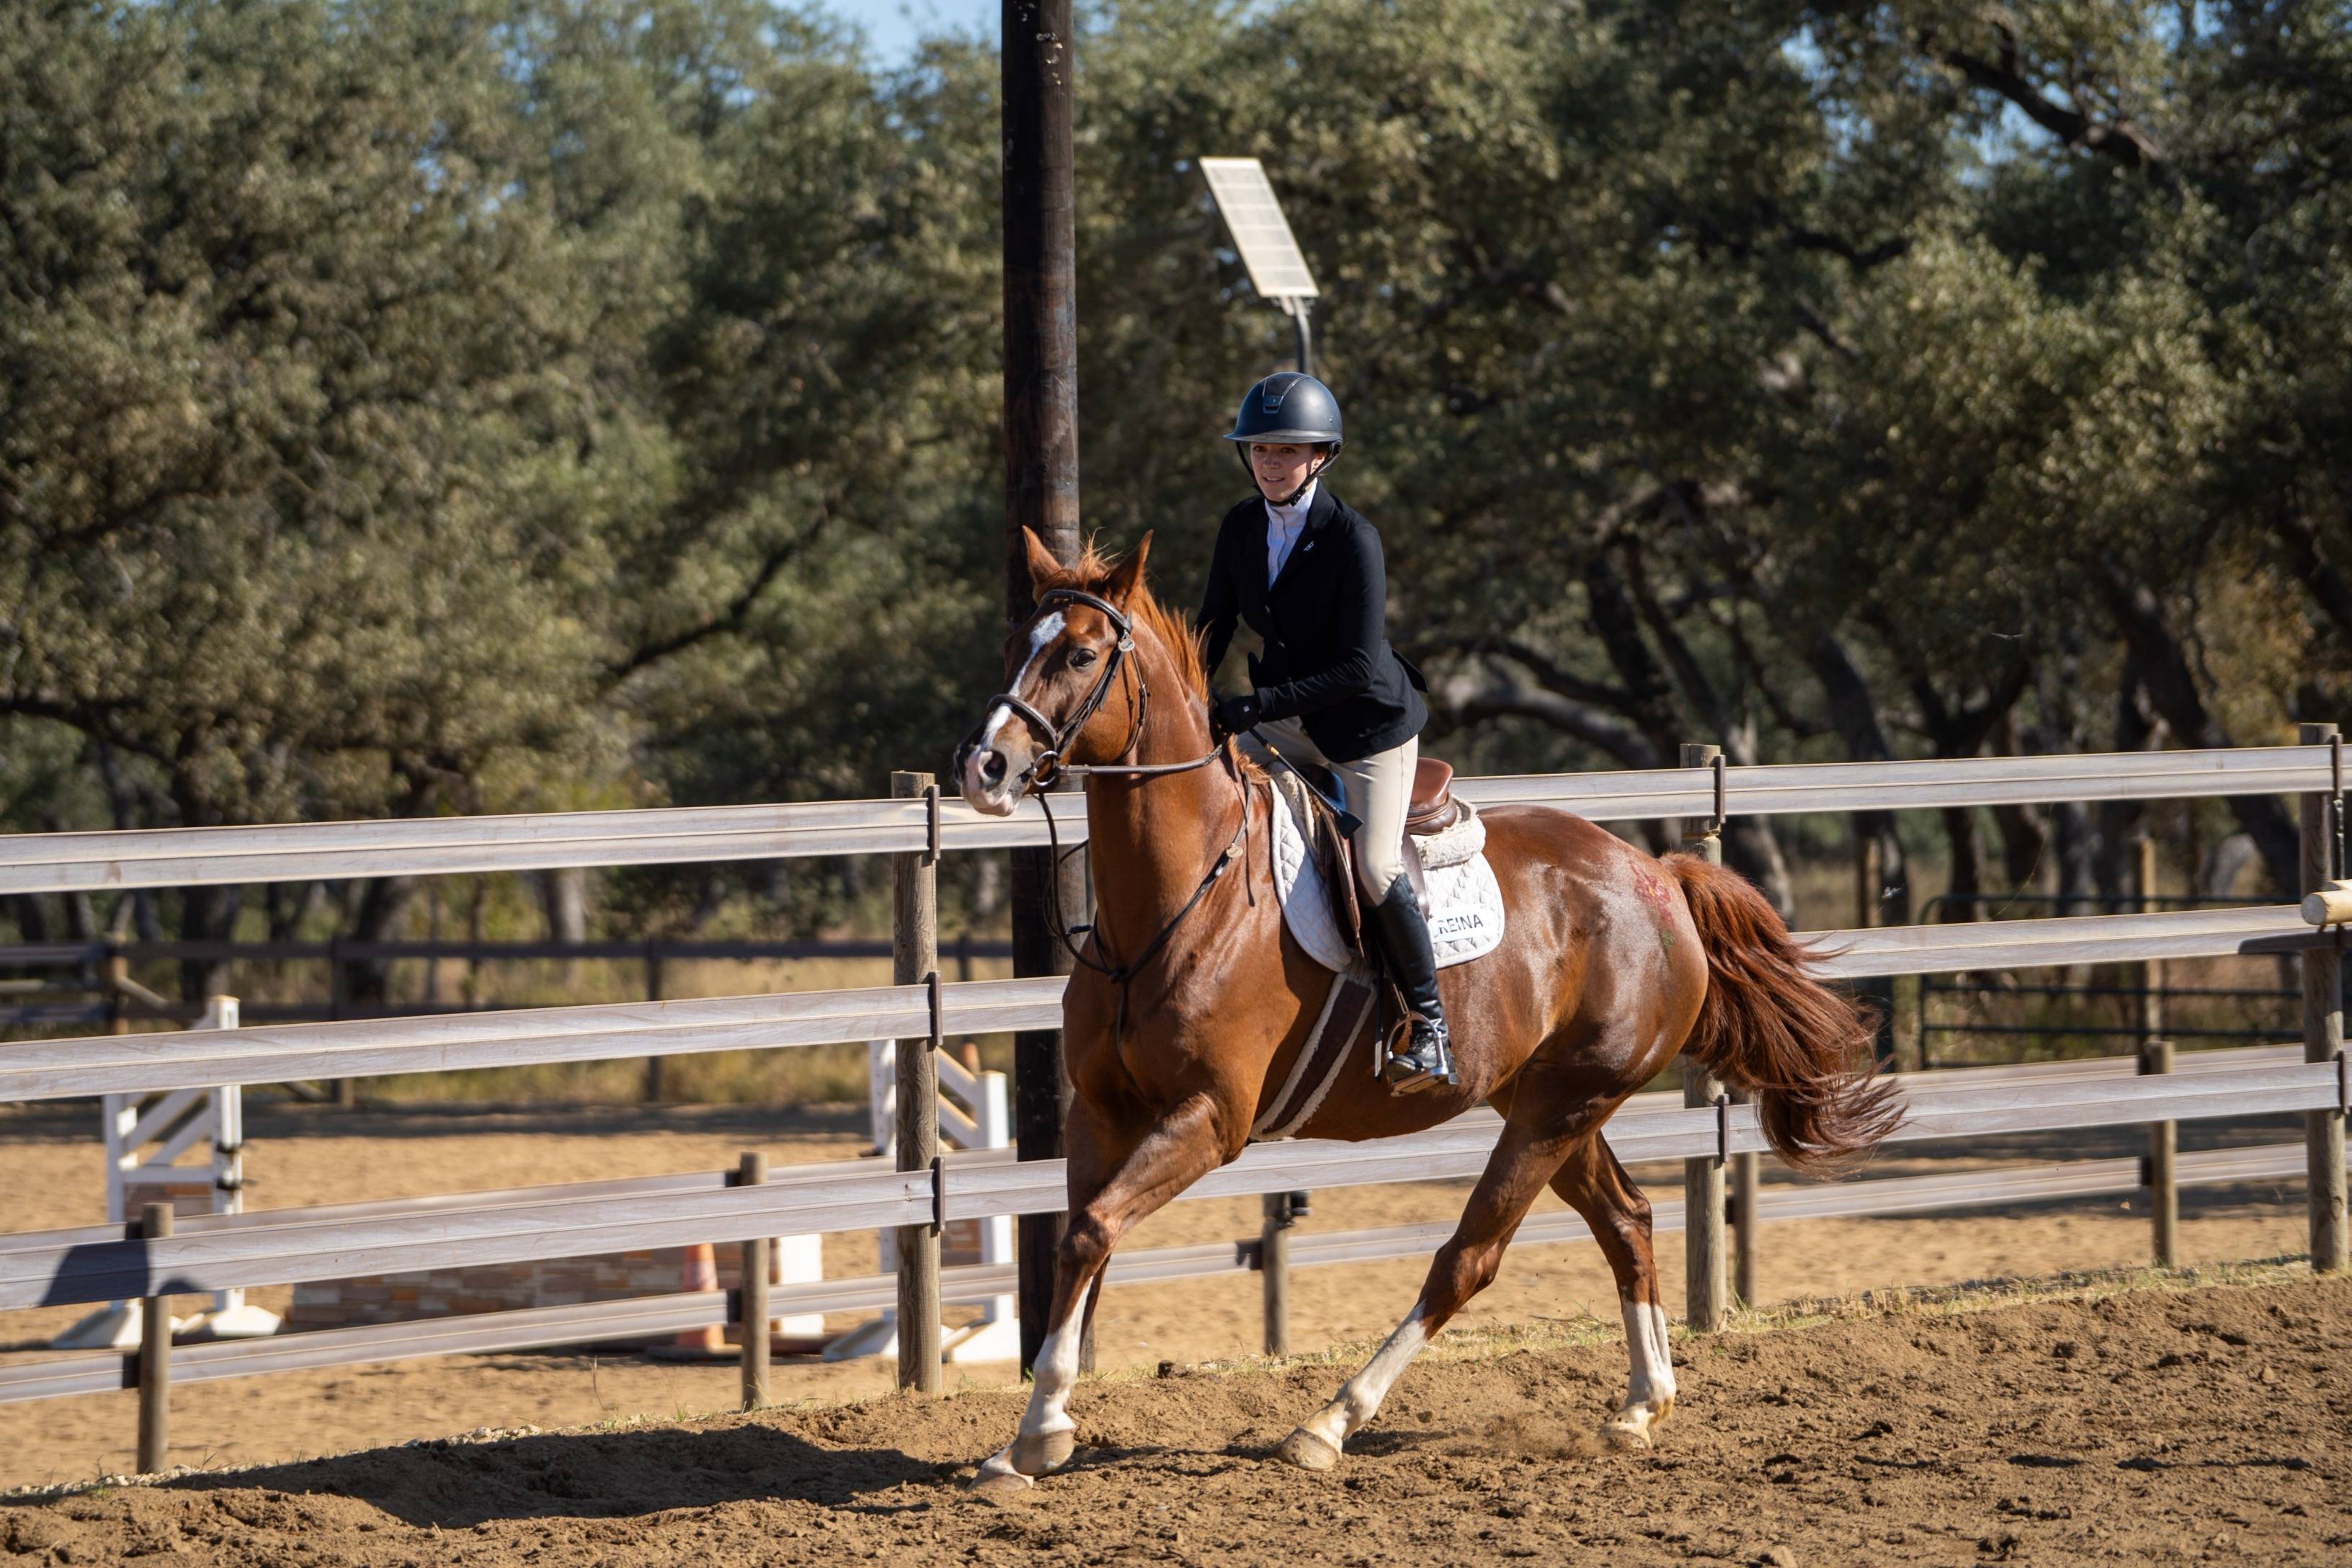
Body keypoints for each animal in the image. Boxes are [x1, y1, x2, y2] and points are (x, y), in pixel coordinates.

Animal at [955, 533, 1891, 1494]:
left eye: (1080, 655)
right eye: (1013, 646)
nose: (984, 769)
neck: (1178, 896)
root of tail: (1656, 872)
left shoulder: (1211, 1118)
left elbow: (1092, 1231)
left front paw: (1044, 1428)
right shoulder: (1103, 1114)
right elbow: (1084, 1244)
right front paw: (1032, 1435)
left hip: (1559, 1108)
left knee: (1468, 1260)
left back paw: (1330, 1422)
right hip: (1550, 1101)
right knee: (1626, 1220)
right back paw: (1639, 1408)